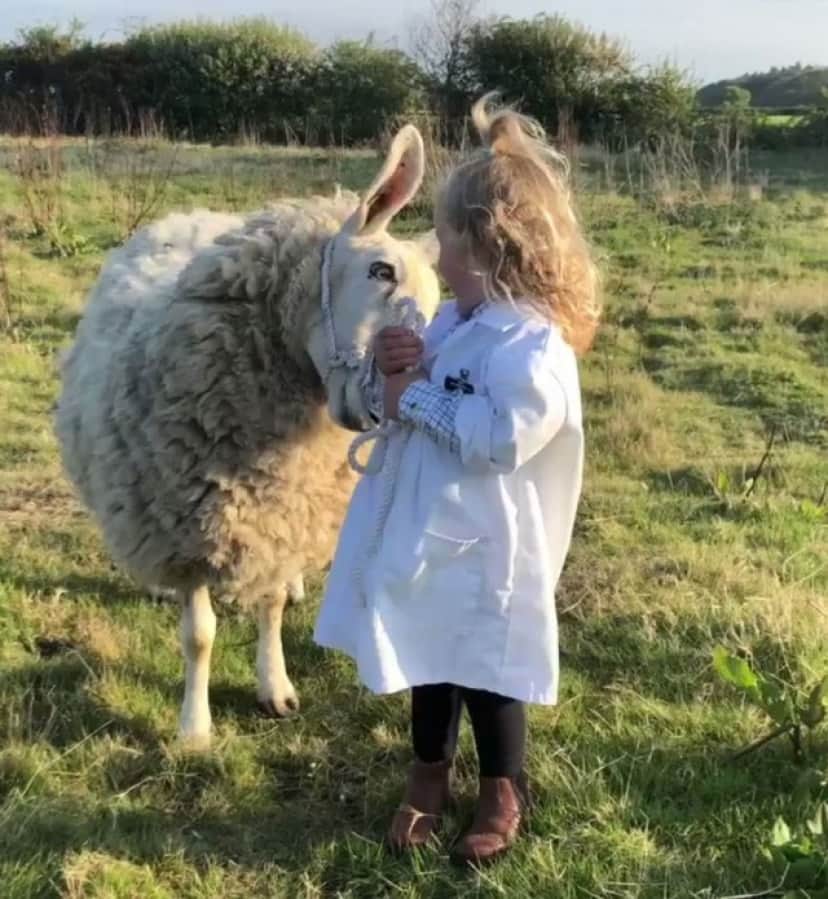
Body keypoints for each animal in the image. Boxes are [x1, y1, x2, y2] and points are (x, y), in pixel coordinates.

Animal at [52, 125, 444, 744]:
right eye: (380, 271)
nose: (387, 409)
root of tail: (190, 215)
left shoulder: (282, 521)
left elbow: (273, 606)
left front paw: (275, 686)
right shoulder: (184, 528)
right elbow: (199, 635)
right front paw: (194, 727)